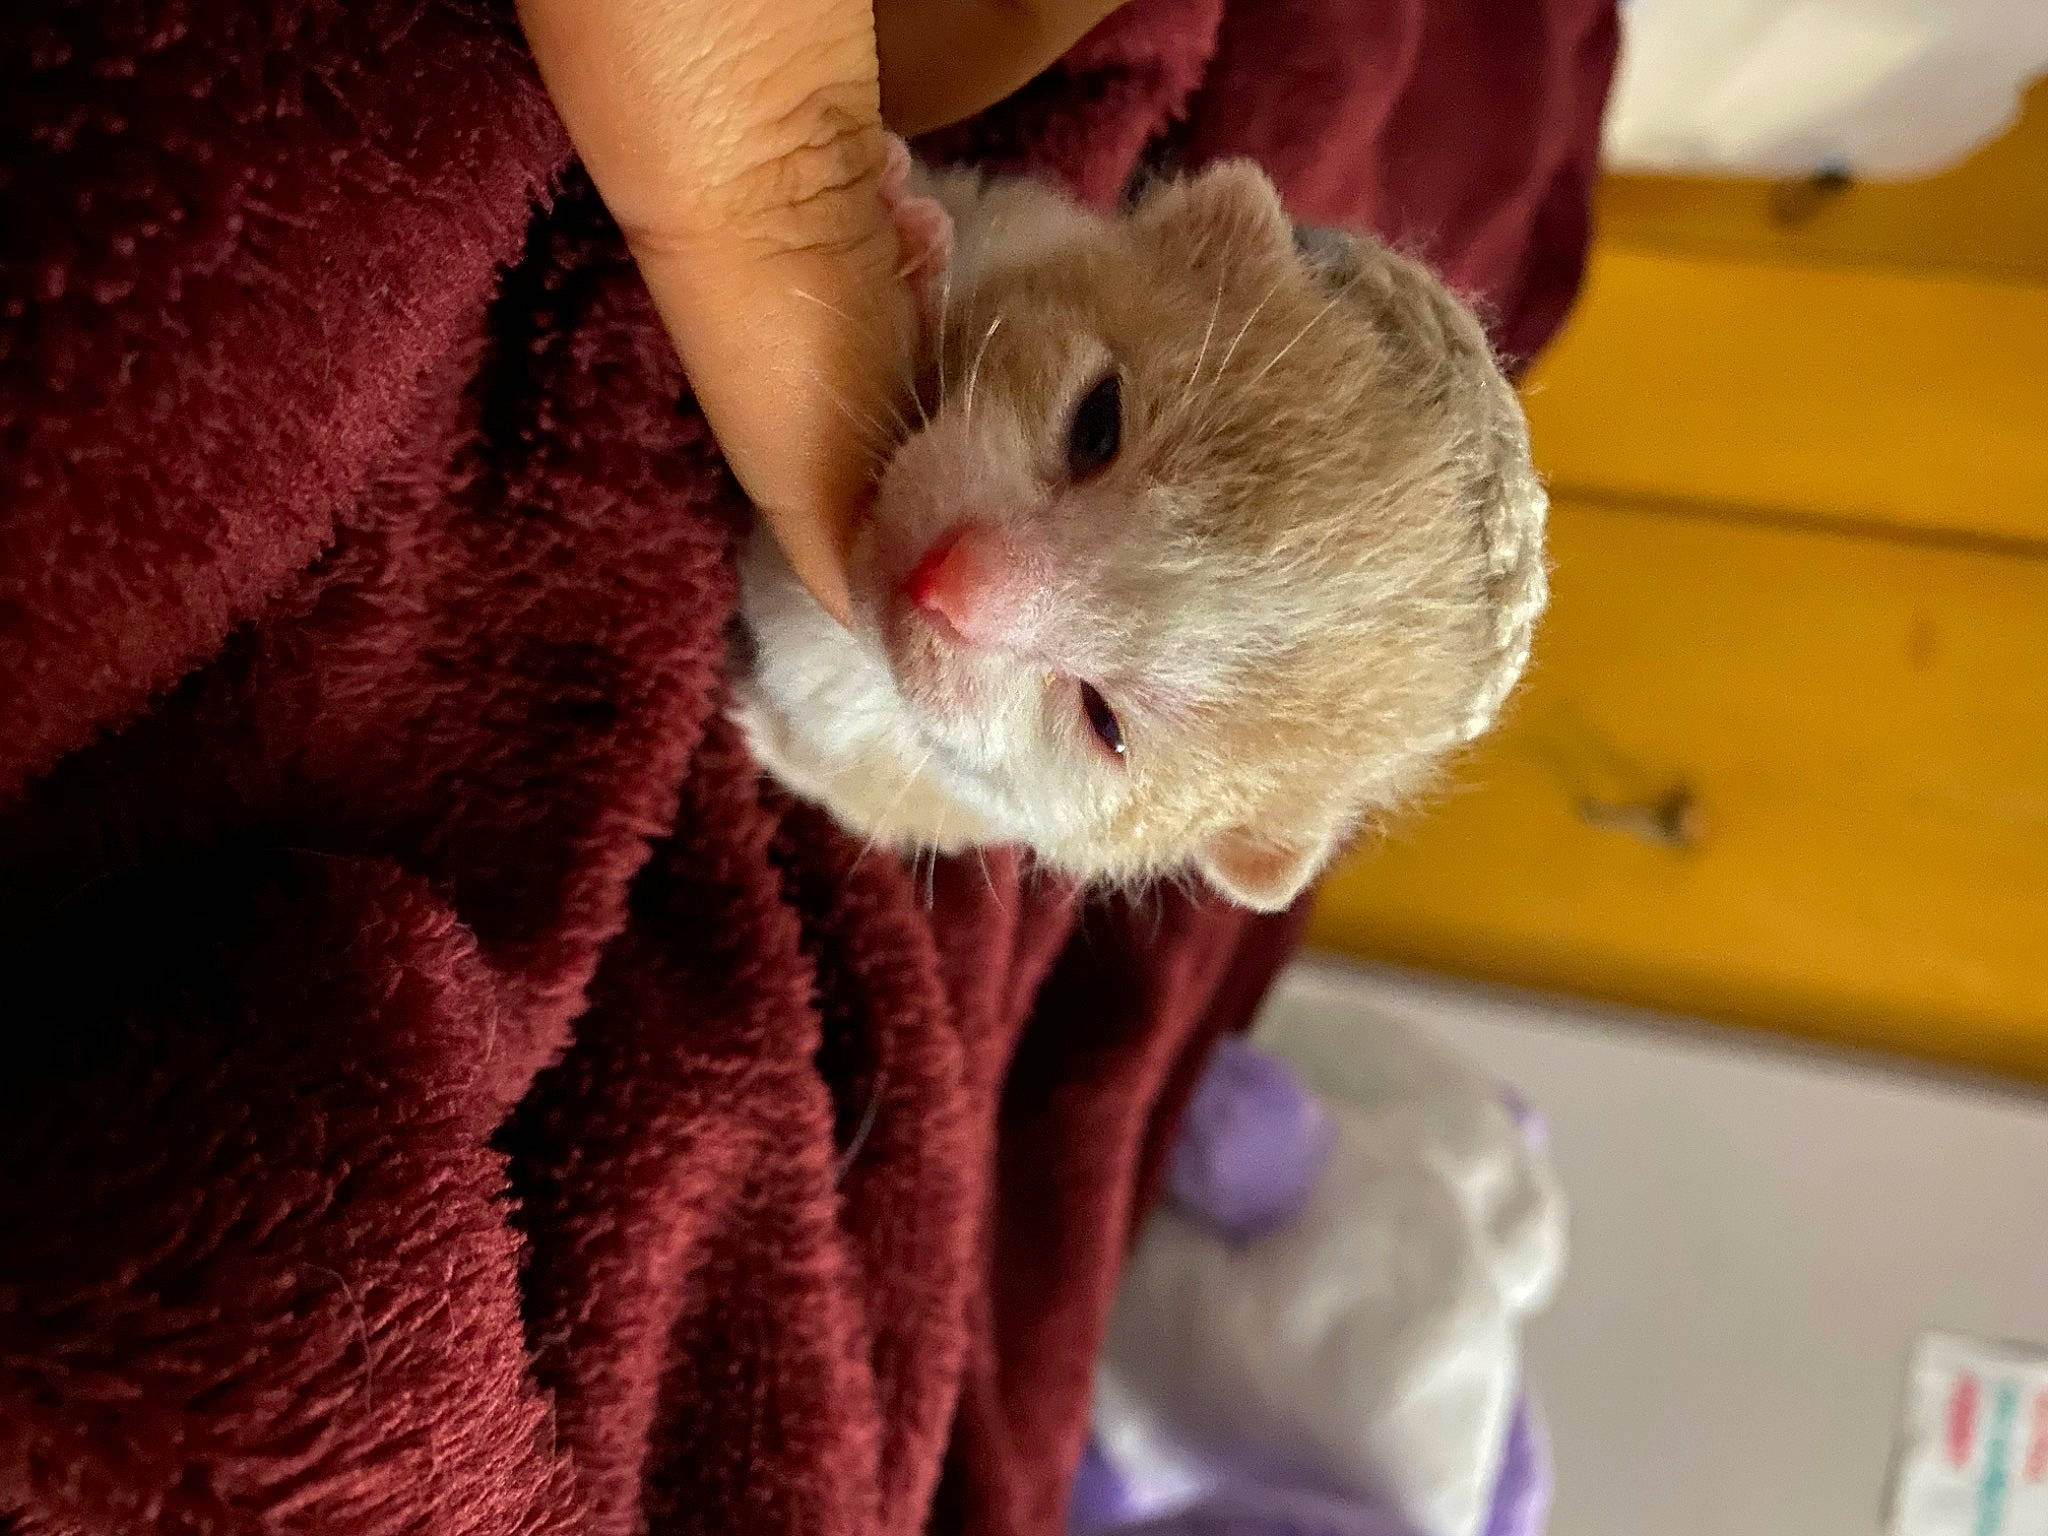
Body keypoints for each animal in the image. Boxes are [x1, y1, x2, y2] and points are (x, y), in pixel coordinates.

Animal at [729, 145, 1547, 913]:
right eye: (1098, 423)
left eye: (1105, 723)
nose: (945, 581)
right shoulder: (1020, 216)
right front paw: (917, 241)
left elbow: (833, 777)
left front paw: (757, 734)